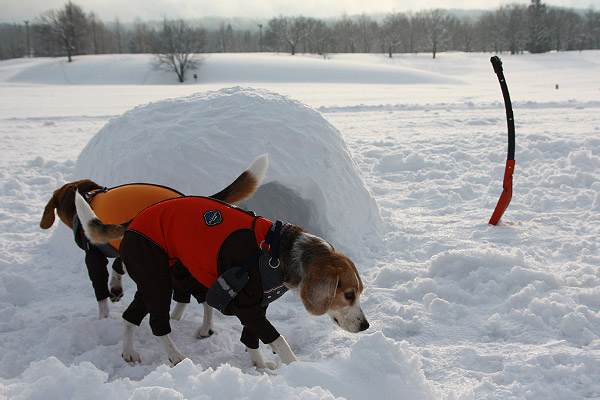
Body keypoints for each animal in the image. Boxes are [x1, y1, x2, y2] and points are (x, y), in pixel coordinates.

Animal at [41, 155, 268, 324]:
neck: (89, 195)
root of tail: (184, 198)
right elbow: (117, 266)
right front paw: (116, 289)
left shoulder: (94, 255)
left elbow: (100, 290)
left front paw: (103, 316)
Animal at [74, 156, 366, 368]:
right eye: (349, 294)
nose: (366, 326)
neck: (280, 253)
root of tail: (134, 220)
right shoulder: (246, 306)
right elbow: (278, 340)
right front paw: (296, 370)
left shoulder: (257, 305)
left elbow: (251, 339)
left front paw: (260, 366)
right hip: (157, 282)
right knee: (157, 323)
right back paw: (176, 356)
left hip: (152, 282)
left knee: (130, 317)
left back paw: (129, 352)